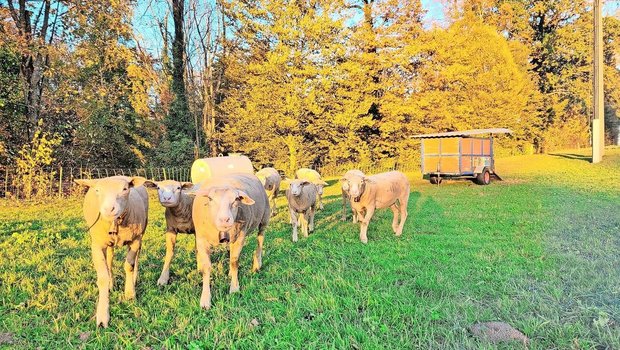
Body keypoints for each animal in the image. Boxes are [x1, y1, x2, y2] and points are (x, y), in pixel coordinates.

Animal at [73, 176, 148, 326]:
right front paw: (102, 315)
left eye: (125, 189)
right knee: (110, 259)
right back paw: (111, 284)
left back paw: (134, 279)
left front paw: (130, 294)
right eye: (97, 190)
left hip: (141, 233)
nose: (109, 209)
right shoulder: (97, 245)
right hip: (108, 243)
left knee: (137, 258)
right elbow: (102, 277)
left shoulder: (135, 240)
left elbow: (129, 266)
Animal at [191, 173, 268, 308]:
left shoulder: (240, 237)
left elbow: (234, 262)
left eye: (236, 199)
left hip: (264, 218)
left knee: (260, 240)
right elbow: (206, 267)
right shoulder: (201, 240)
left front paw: (234, 288)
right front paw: (205, 299)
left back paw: (256, 265)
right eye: (210, 199)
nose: (224, 220)